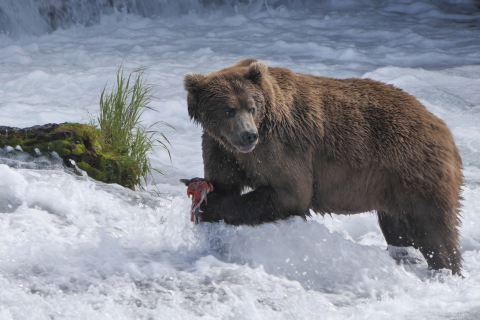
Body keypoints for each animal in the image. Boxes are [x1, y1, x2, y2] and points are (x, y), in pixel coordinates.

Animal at [183, 58, 462, 274]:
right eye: (228, 110)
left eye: (251, 107)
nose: (248, 135)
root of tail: (442, 126)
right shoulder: (220, 149)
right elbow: (225, 182)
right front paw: (205, 195)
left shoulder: (280, 147)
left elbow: (291, 192)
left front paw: (208, 206)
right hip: (390, 185)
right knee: (397, 228)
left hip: (414, 168)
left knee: (435, 230)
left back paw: (446, 270)